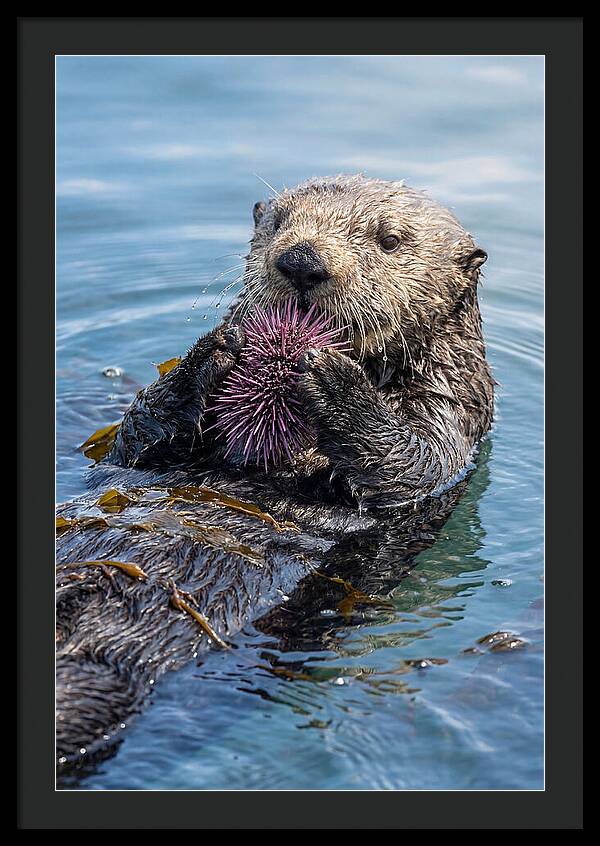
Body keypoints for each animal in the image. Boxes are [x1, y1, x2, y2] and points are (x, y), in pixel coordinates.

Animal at [56, 175, 494, 770]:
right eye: (280, 222)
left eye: (389, 240)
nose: (302, 261)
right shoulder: (139, 451)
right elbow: (135, 438)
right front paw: (212, 351)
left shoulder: (453, 412)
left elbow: (412, 463)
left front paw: (334, 379)